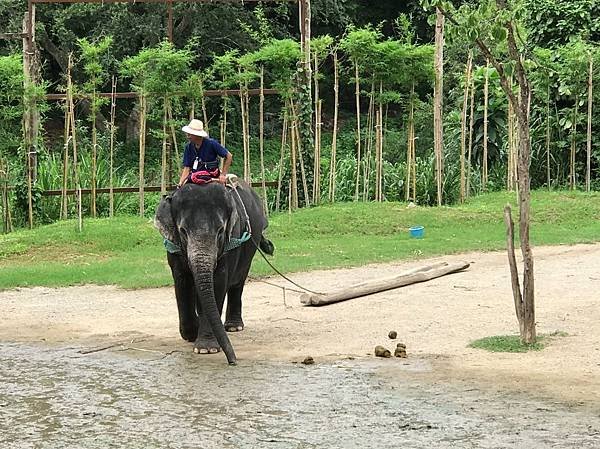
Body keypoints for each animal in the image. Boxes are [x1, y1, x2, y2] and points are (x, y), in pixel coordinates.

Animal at [156, 178, 276, 364]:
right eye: (182, 231)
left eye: (220, 231)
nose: (233, 361)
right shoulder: (172, 245)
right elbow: (182, 281)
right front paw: (192, 334)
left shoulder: (231, 240)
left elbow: (219, 281)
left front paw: (206, 349)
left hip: (250, 245)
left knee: (238, 282)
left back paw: (233, 327)